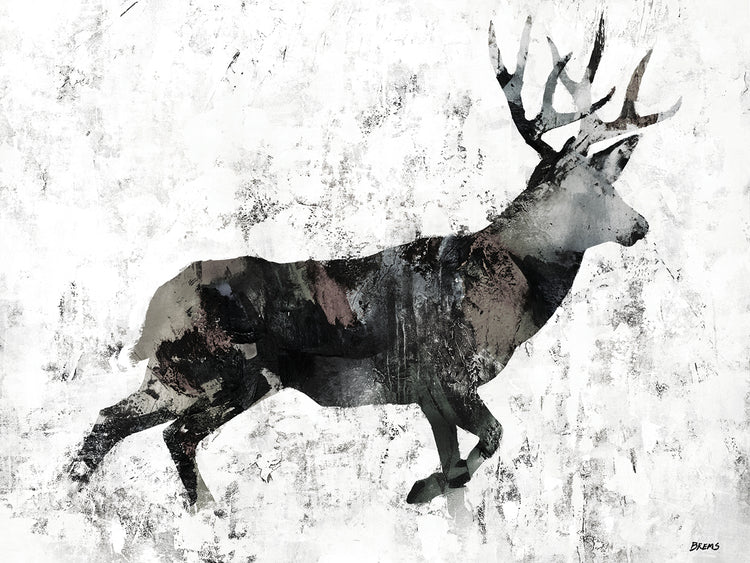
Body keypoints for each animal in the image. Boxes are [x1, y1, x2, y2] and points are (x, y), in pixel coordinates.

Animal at [69, 16, 679, 508]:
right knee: (152, 431)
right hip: (218, 370)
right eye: (592, 188)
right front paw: (419, 489)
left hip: (198, 377)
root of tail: (154, 308)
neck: (505, 289)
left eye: (612, 180)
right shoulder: (445, 373)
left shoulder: (430, 396)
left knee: (125, 427)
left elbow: (464, 467)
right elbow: (494, 438)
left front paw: (437, 496)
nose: (640, 226)